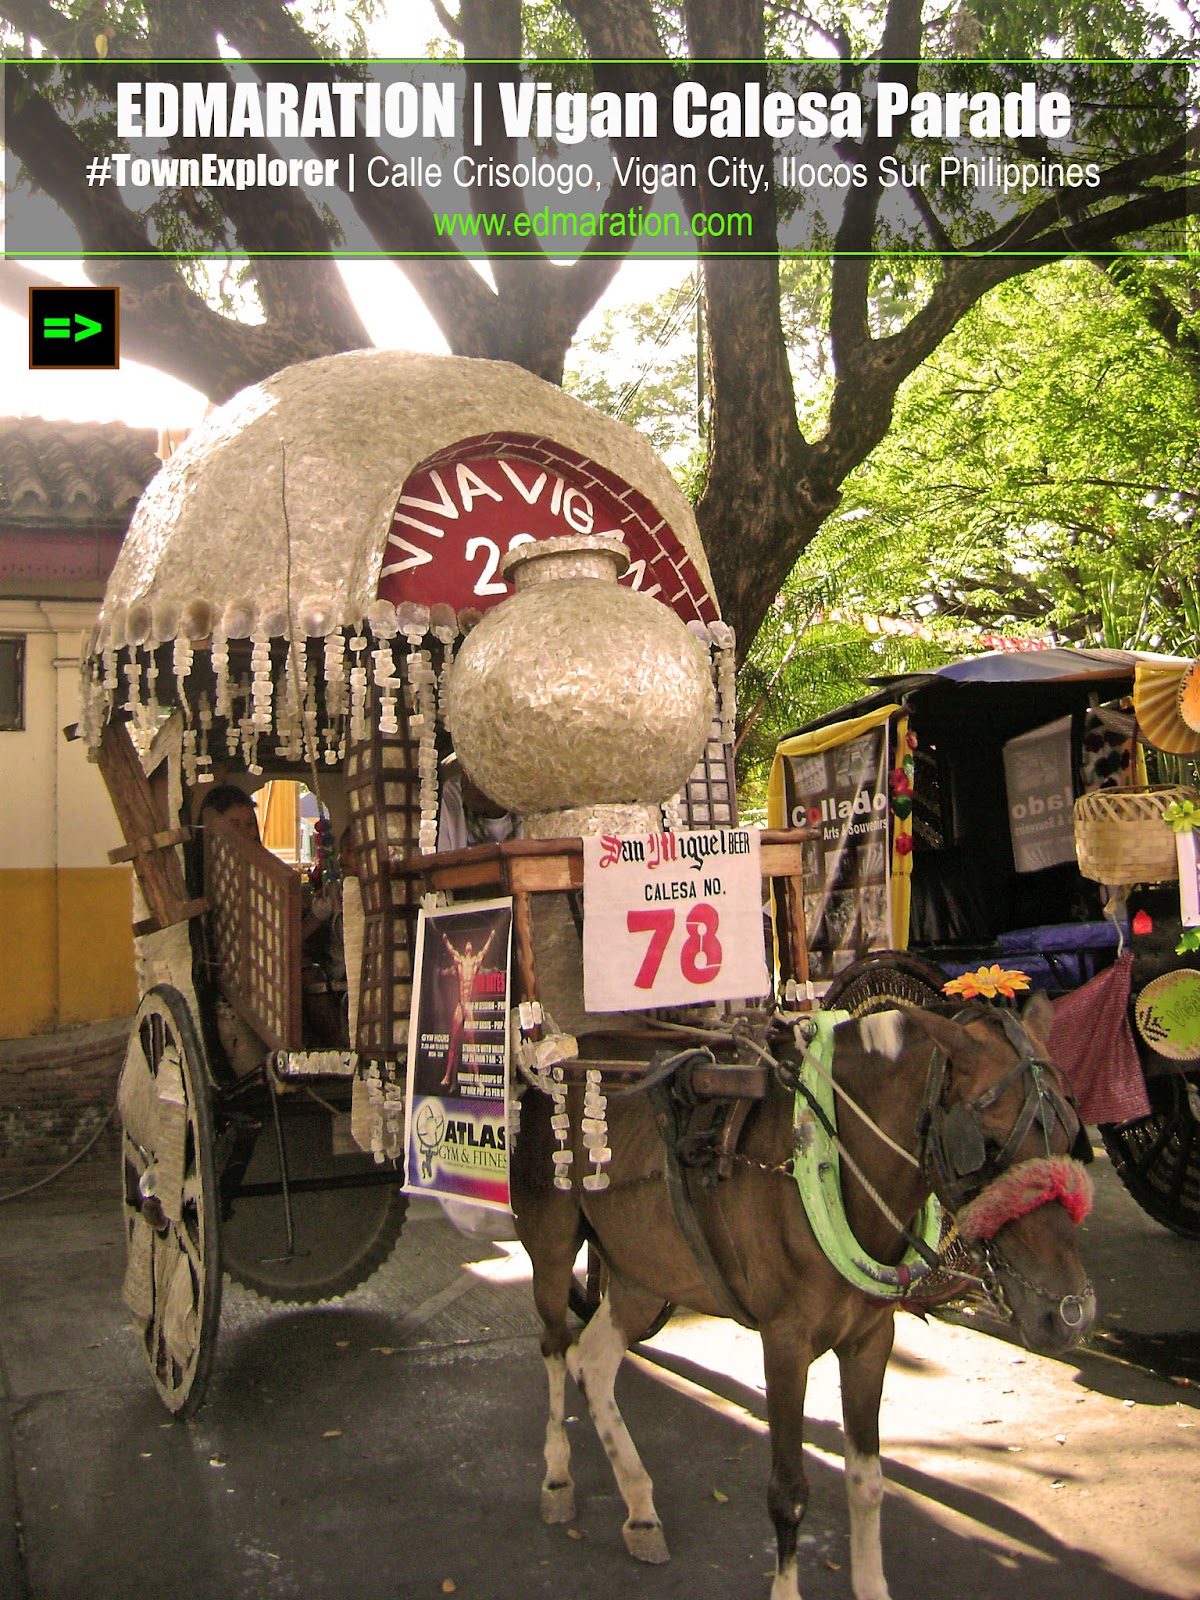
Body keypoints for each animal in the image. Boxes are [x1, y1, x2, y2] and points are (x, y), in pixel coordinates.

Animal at [508, 998, 1100, 1600]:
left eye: (1073, 1136)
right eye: (987, 1143)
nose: (1069, 1313)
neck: (830, 1158)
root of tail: (555, 1061)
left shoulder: (871, 1340)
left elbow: (867, 1481)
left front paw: (871, 1584)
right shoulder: (785, 1345)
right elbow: (788, 1494)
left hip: (644, 1274)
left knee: (594, 1361)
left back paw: (641, 1510)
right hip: (552, 1247)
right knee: (555, 1349)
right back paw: (557, 1479)